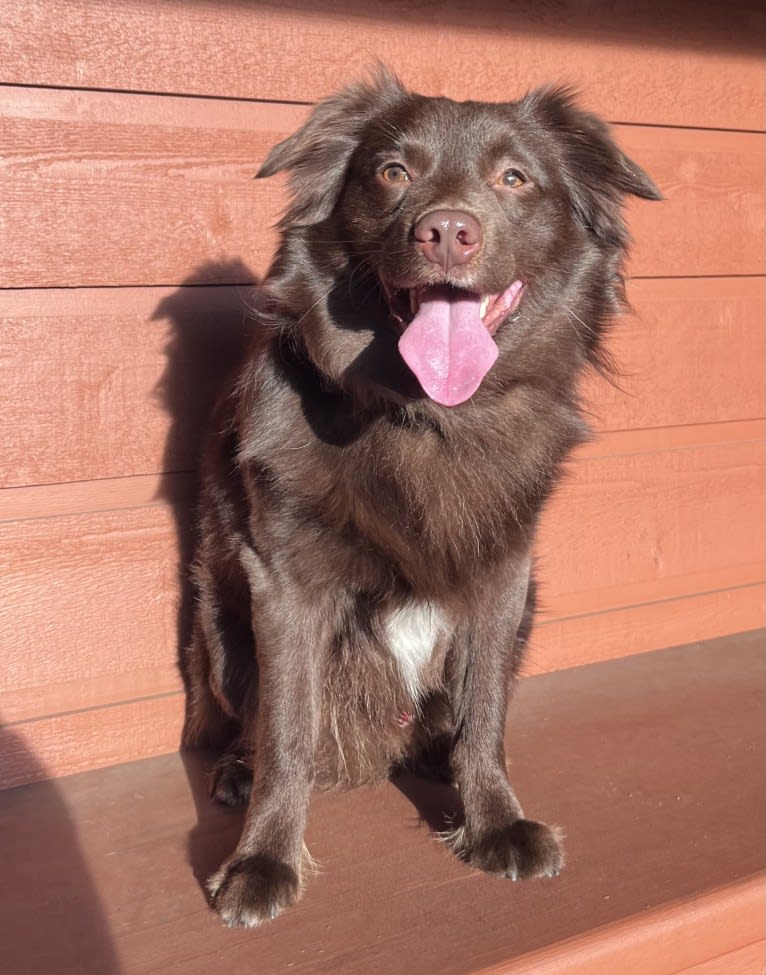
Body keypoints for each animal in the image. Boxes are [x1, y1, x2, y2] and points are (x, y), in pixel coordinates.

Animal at [183, 70, 664, 932]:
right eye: (392, 172)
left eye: (515, 179)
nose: (447, 233)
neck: (429, 416)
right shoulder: (284, 580)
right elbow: (288, 729)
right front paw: (263, 859)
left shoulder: (506, 573)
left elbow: (485, 713)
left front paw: (494, 819)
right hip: (217, 615)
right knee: (247, 715)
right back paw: (236, 767)